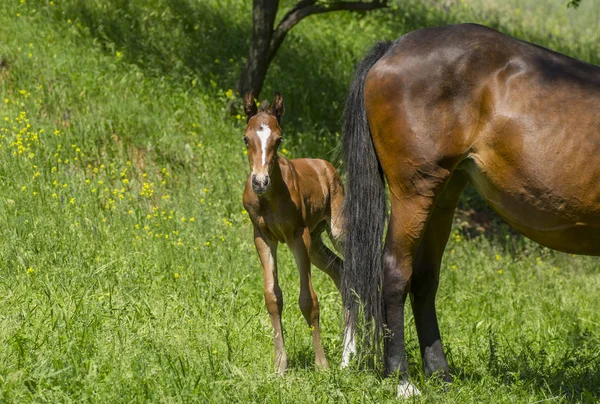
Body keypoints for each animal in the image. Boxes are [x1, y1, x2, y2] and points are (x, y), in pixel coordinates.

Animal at [243, 93, 350, 374]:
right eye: (246, 138)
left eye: (279, 139)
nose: (259, 182)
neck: (270, 197)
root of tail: (326, 167)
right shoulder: (263, 237)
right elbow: (273, 297)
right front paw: (280, 365)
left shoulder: (297, 236)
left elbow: (308, 300)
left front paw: (322, 365)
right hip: (316, 243)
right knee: (342, 272)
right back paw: (347, 351)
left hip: (335, 232)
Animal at [342, 22, 600, 398]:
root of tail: (393, 47)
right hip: (414, 191)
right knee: (394, 272)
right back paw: (402, 380)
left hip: (443, 196)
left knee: (424, 279)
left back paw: (441, 376)